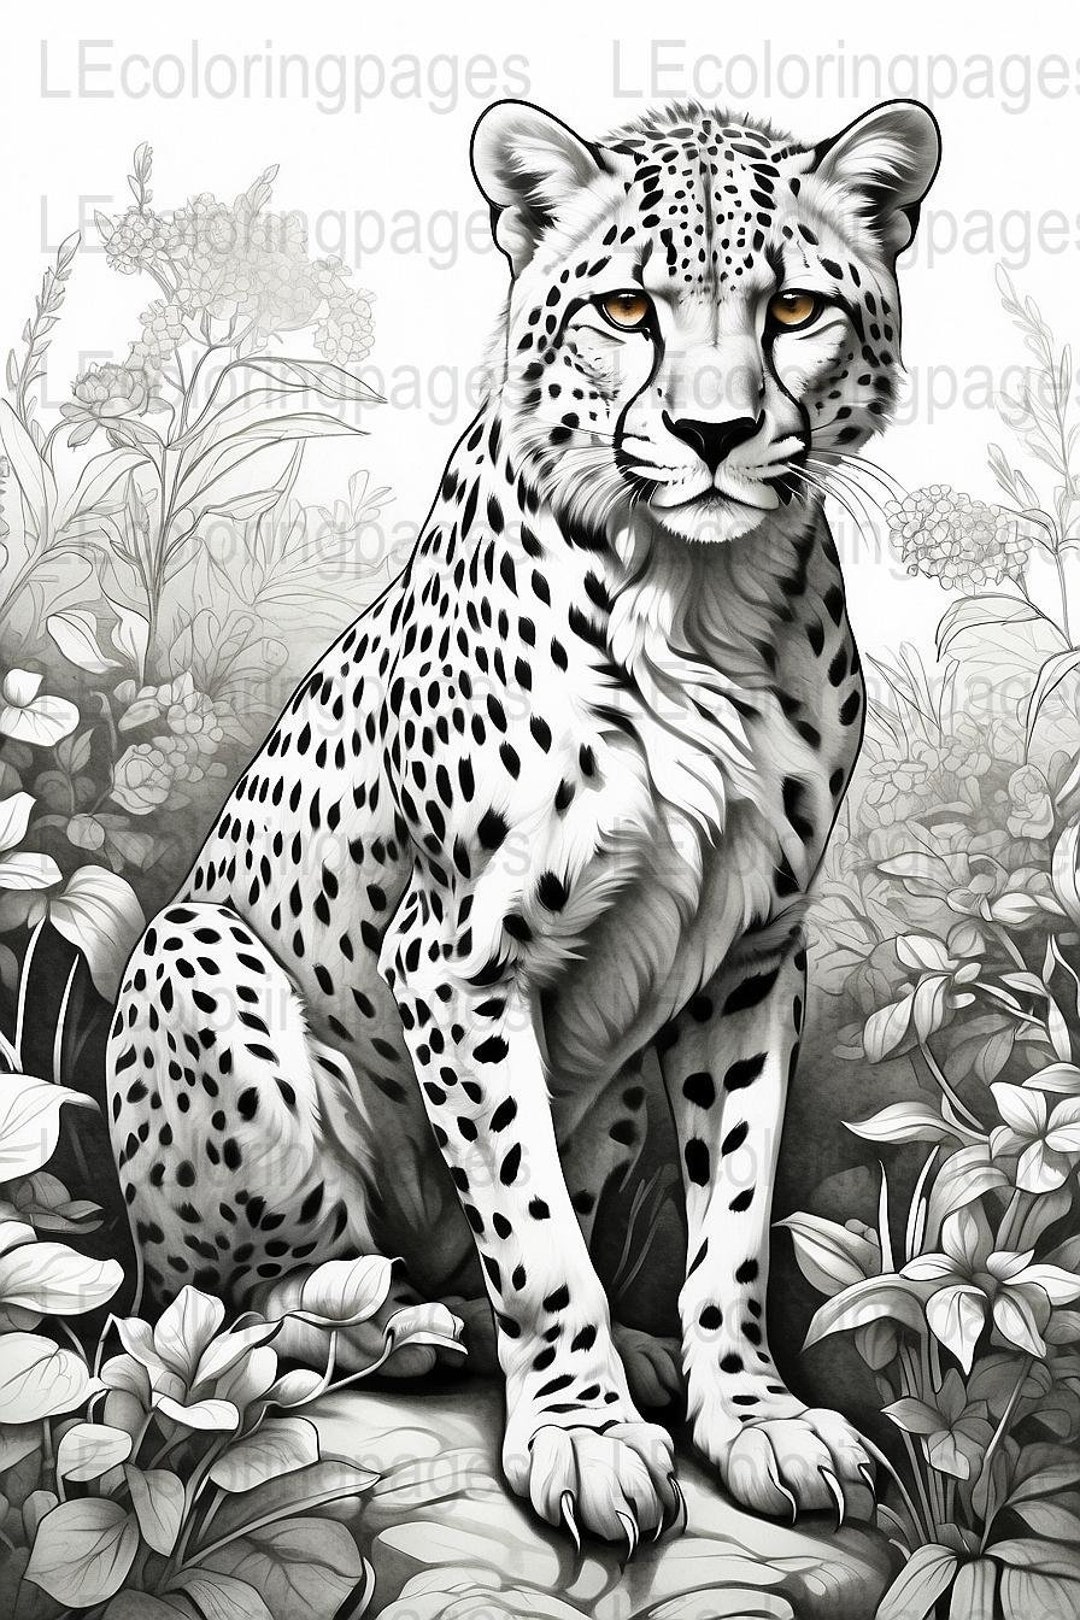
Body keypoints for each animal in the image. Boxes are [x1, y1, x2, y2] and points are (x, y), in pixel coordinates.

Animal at [107, 94, 940, 1548]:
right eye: (626, 308)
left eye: (792, 308)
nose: (716, 433)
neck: (696, 596)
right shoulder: (455, 957)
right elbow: (535, 1229)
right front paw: (583, 1432)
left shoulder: (747, 961)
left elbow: (731, 1213)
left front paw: (751, 1413)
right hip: (194, 955)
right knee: (239, 1316)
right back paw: (406, 1327)